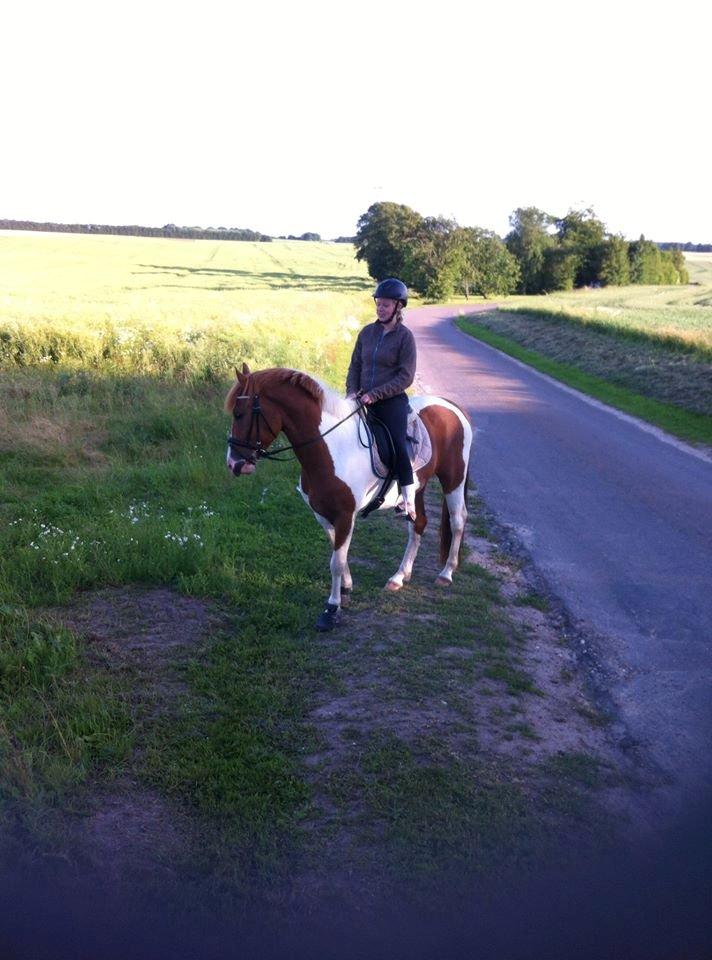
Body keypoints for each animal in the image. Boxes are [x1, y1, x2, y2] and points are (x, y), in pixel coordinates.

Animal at [225, 366, 472, 632]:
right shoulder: (322, 514)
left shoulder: (345, 516)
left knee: (458, 521)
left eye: (240, 414)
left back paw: (446, 573)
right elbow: (338, 554)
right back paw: (399, 577)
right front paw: (345, 589)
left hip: (453, 480)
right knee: (418, 523)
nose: (234, 464)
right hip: (417, 490)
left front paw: (332, 609)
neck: (331, 448)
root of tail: (452, 407)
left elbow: (336, 561)